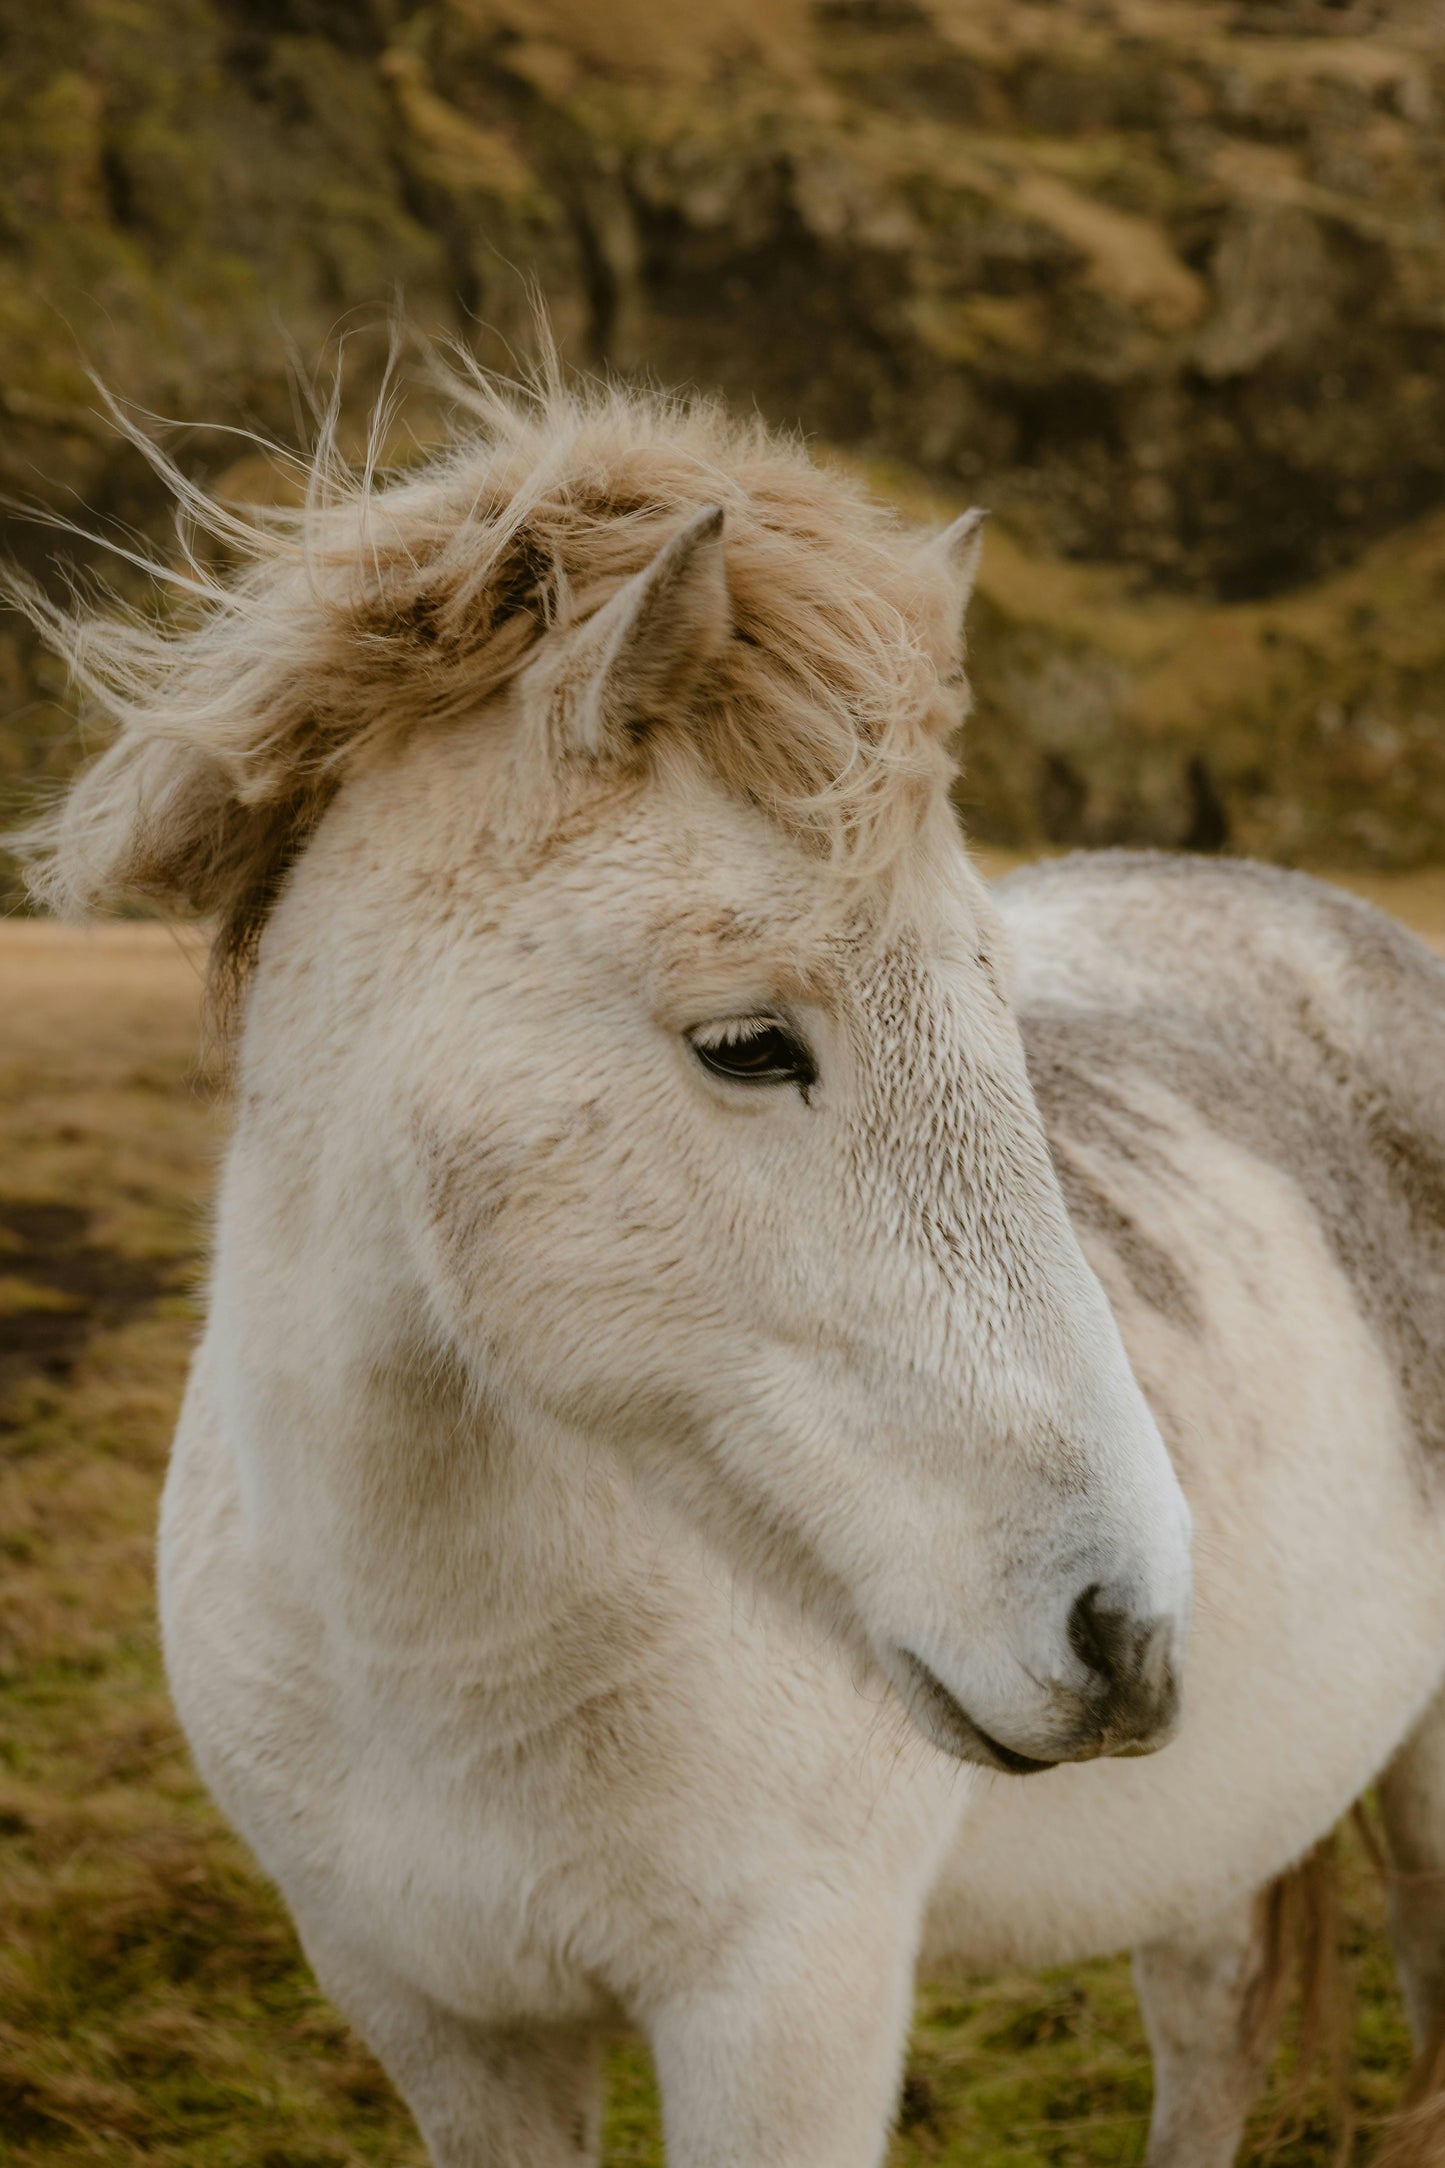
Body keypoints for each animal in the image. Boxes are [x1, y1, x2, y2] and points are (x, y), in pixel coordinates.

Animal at [10, 365, 1443, 2167]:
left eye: (1000, 1005)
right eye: (748, 1045)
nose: (1126, 1628)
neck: (426, 1661)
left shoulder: (784, 2018)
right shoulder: (445, 2032)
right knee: (1208, 2026)